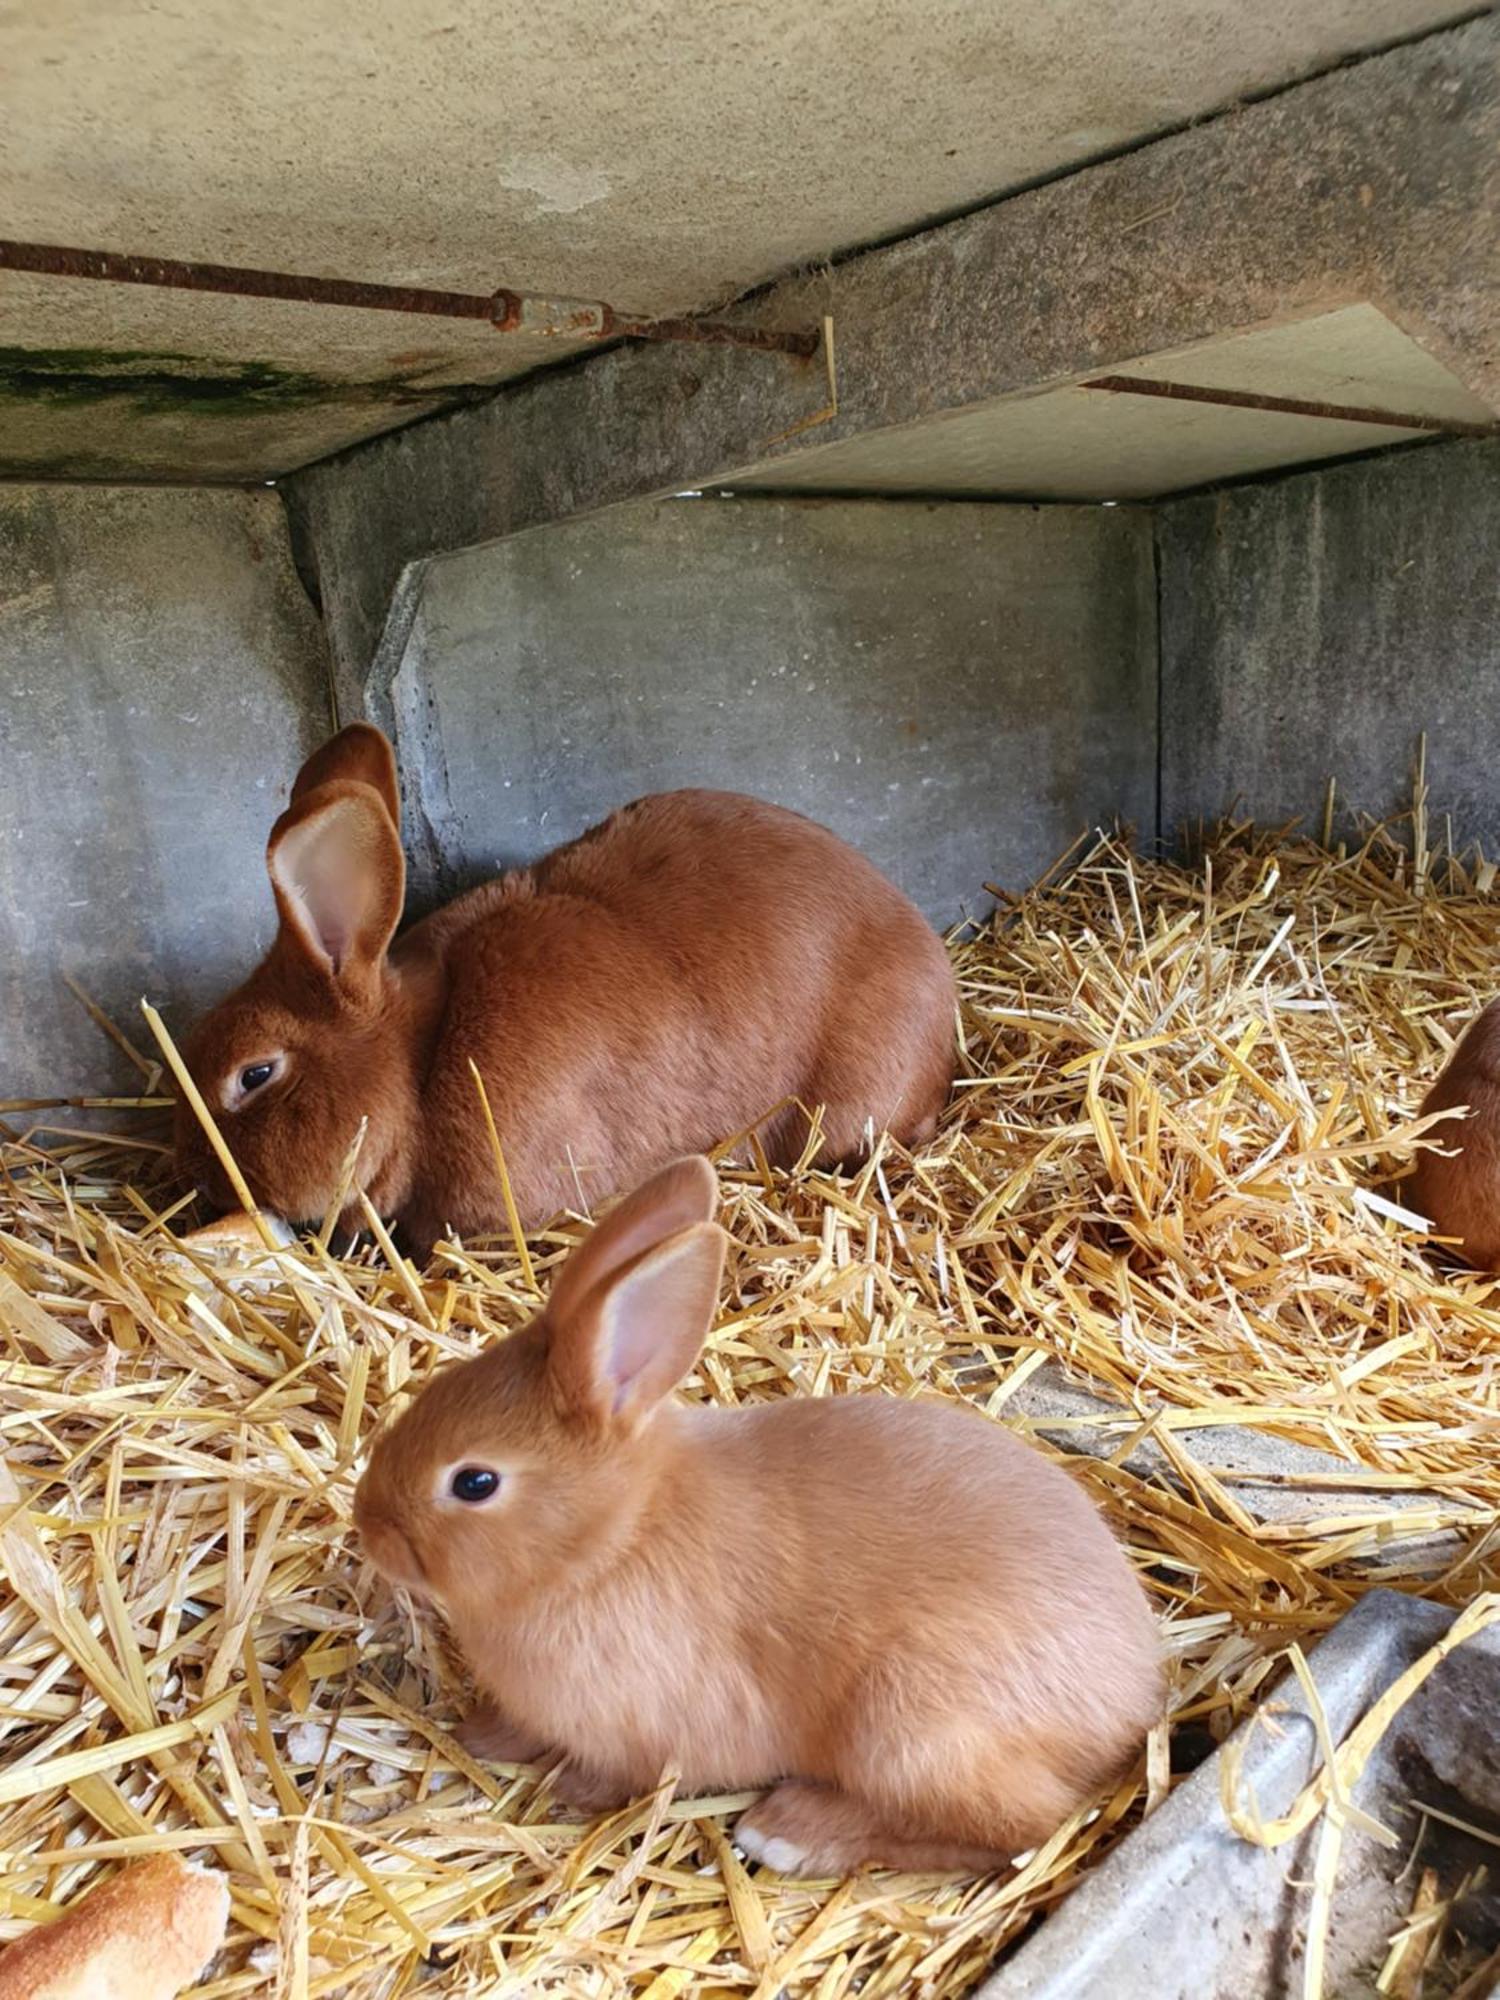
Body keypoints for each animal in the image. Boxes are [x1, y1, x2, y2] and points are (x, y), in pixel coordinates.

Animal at [358, 1160, 1168, 1872]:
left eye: (475, 1482)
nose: (368, 1527)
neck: (610, 1540)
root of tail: (1134, 1699)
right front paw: (481, 1735)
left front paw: (566, 1788)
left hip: (913, 1725)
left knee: (1017, 1826)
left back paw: (792, 1833)